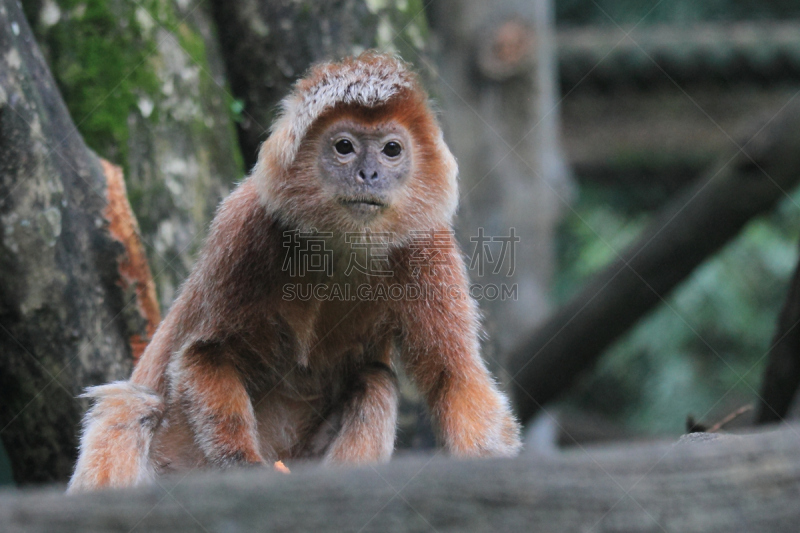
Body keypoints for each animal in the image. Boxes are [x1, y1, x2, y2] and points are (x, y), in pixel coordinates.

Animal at [67, 53, 520, 490]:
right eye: (344, 147)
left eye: (392, 150)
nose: (369, 174)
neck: (341, 246)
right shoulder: (245, 226)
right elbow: (206, 355)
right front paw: (242, 465)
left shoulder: (426, 244)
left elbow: (454, 380)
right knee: (129, 406)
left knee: (375, 381)